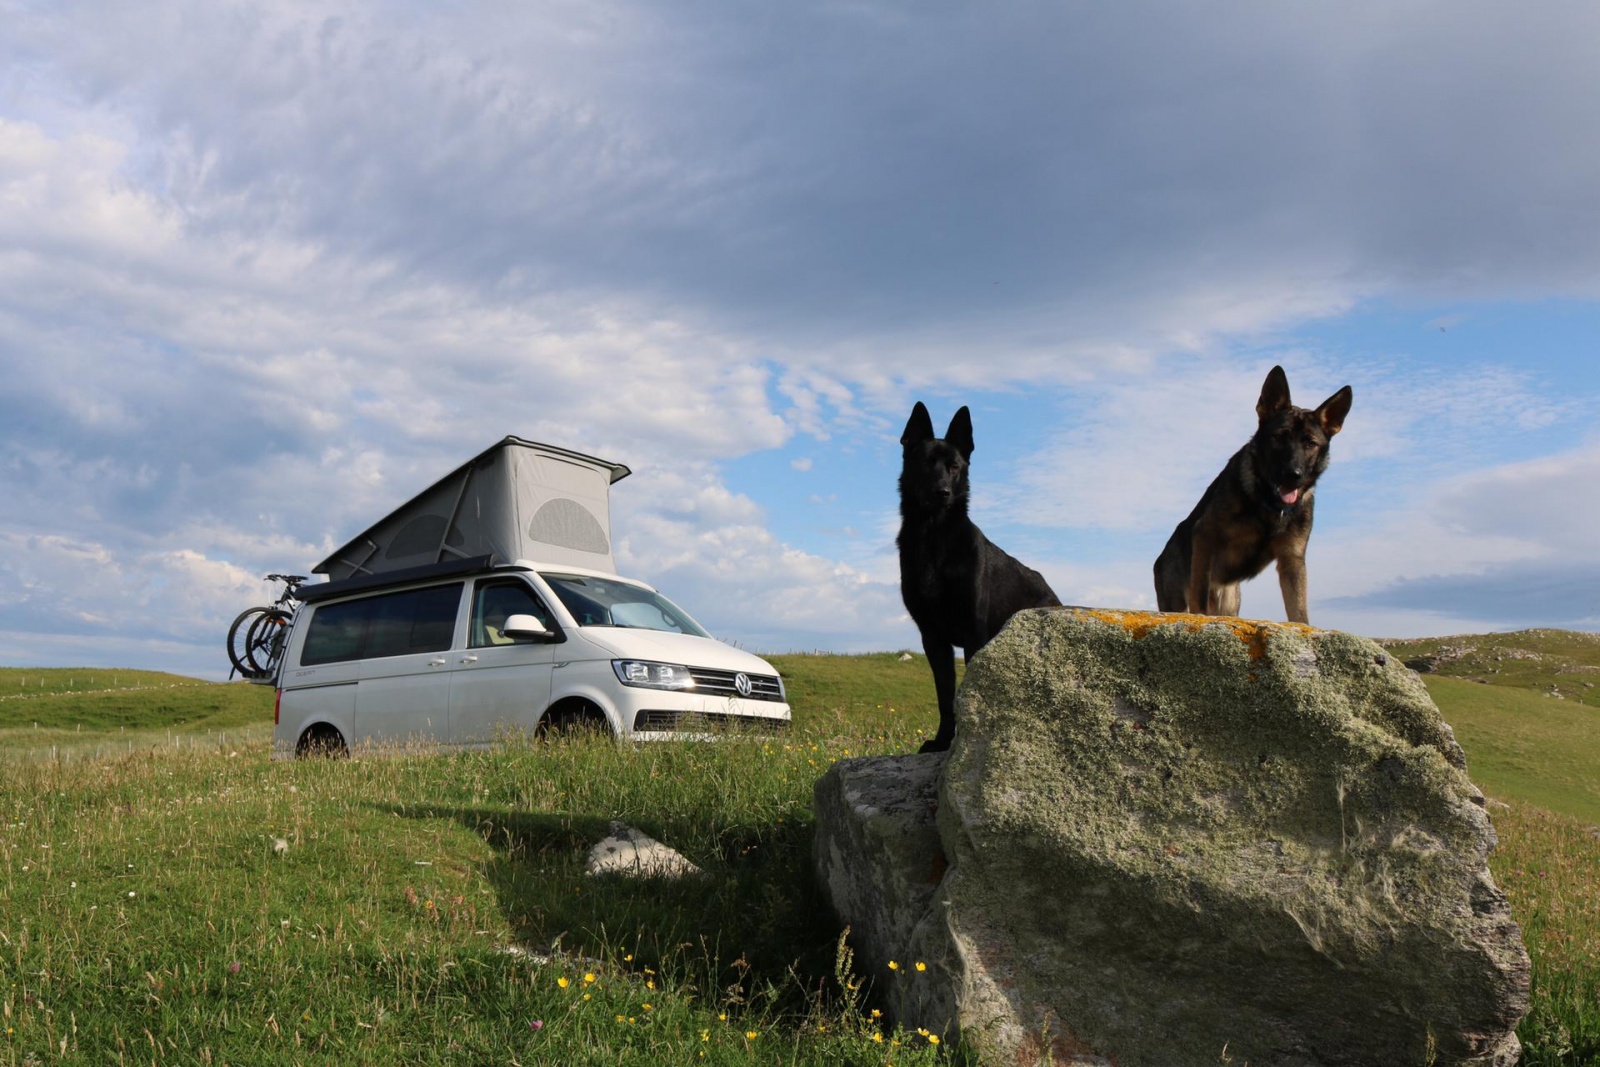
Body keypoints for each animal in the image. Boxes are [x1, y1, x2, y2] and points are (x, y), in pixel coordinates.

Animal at [902, 399, 1062, 751]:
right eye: (925, 464)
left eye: (954, 467)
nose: (942, 492)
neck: (934, 538)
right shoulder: (933, 638)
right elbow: (945, 697)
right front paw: (942, 741)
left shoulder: (974, 632)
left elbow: (967, 696)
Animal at [1152, 367, 1350, 627]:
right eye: (1279, 437)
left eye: (1311, 443)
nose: (1293, 475)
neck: (1269, 505)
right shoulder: (1205, 534)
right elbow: (1199, 596)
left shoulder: (1292, 559)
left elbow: (1299, 613)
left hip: (1230, 602)